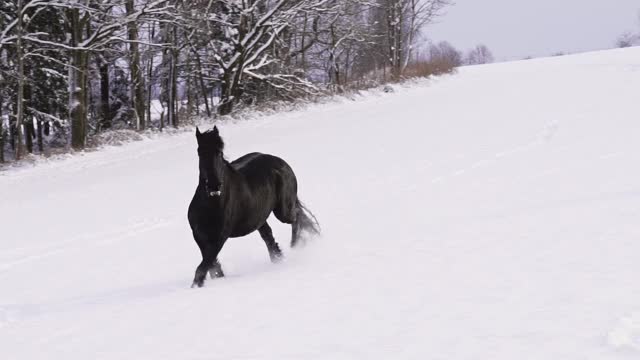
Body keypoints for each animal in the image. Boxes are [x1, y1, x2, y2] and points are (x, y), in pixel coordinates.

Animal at [189, 126, 320, 286]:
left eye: (219, 153)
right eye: (200, 152)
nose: (214, 185)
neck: (211, 205)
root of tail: (280, 161)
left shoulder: (220, 237)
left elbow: (203, 268)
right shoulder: (199, 236)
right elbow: (212, 266)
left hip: (283, 212)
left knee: (296, 217)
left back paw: (295, 245)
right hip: (259, 218)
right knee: (270, 237)